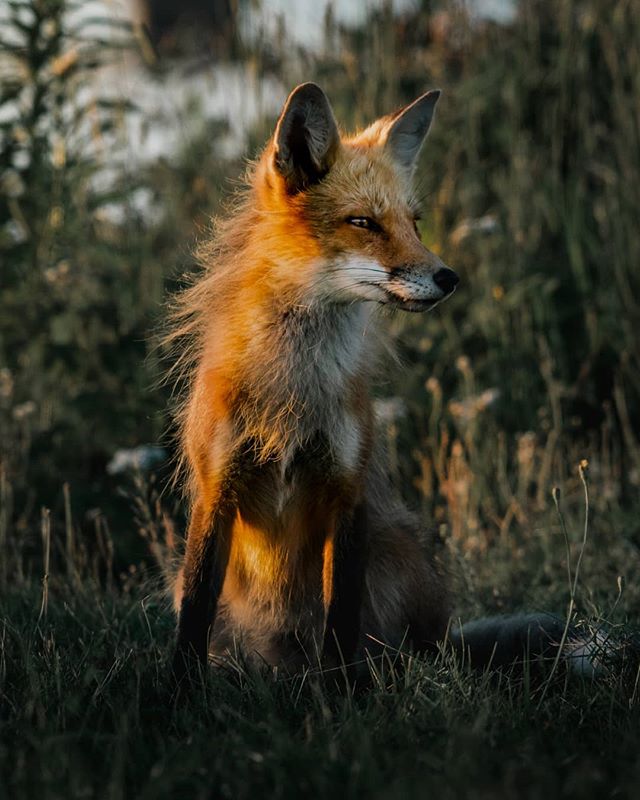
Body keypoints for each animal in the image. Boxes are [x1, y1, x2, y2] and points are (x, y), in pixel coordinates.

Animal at [168, 83, 616, 680]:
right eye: (363, 223)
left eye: (415, 222)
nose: (449, 278)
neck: (293, 395)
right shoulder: (215, 492)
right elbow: (193, 616)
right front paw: (178, 691)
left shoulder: (347, 491)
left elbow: (341, 619)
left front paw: (338, 692)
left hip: (395, 559)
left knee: (395, 652)